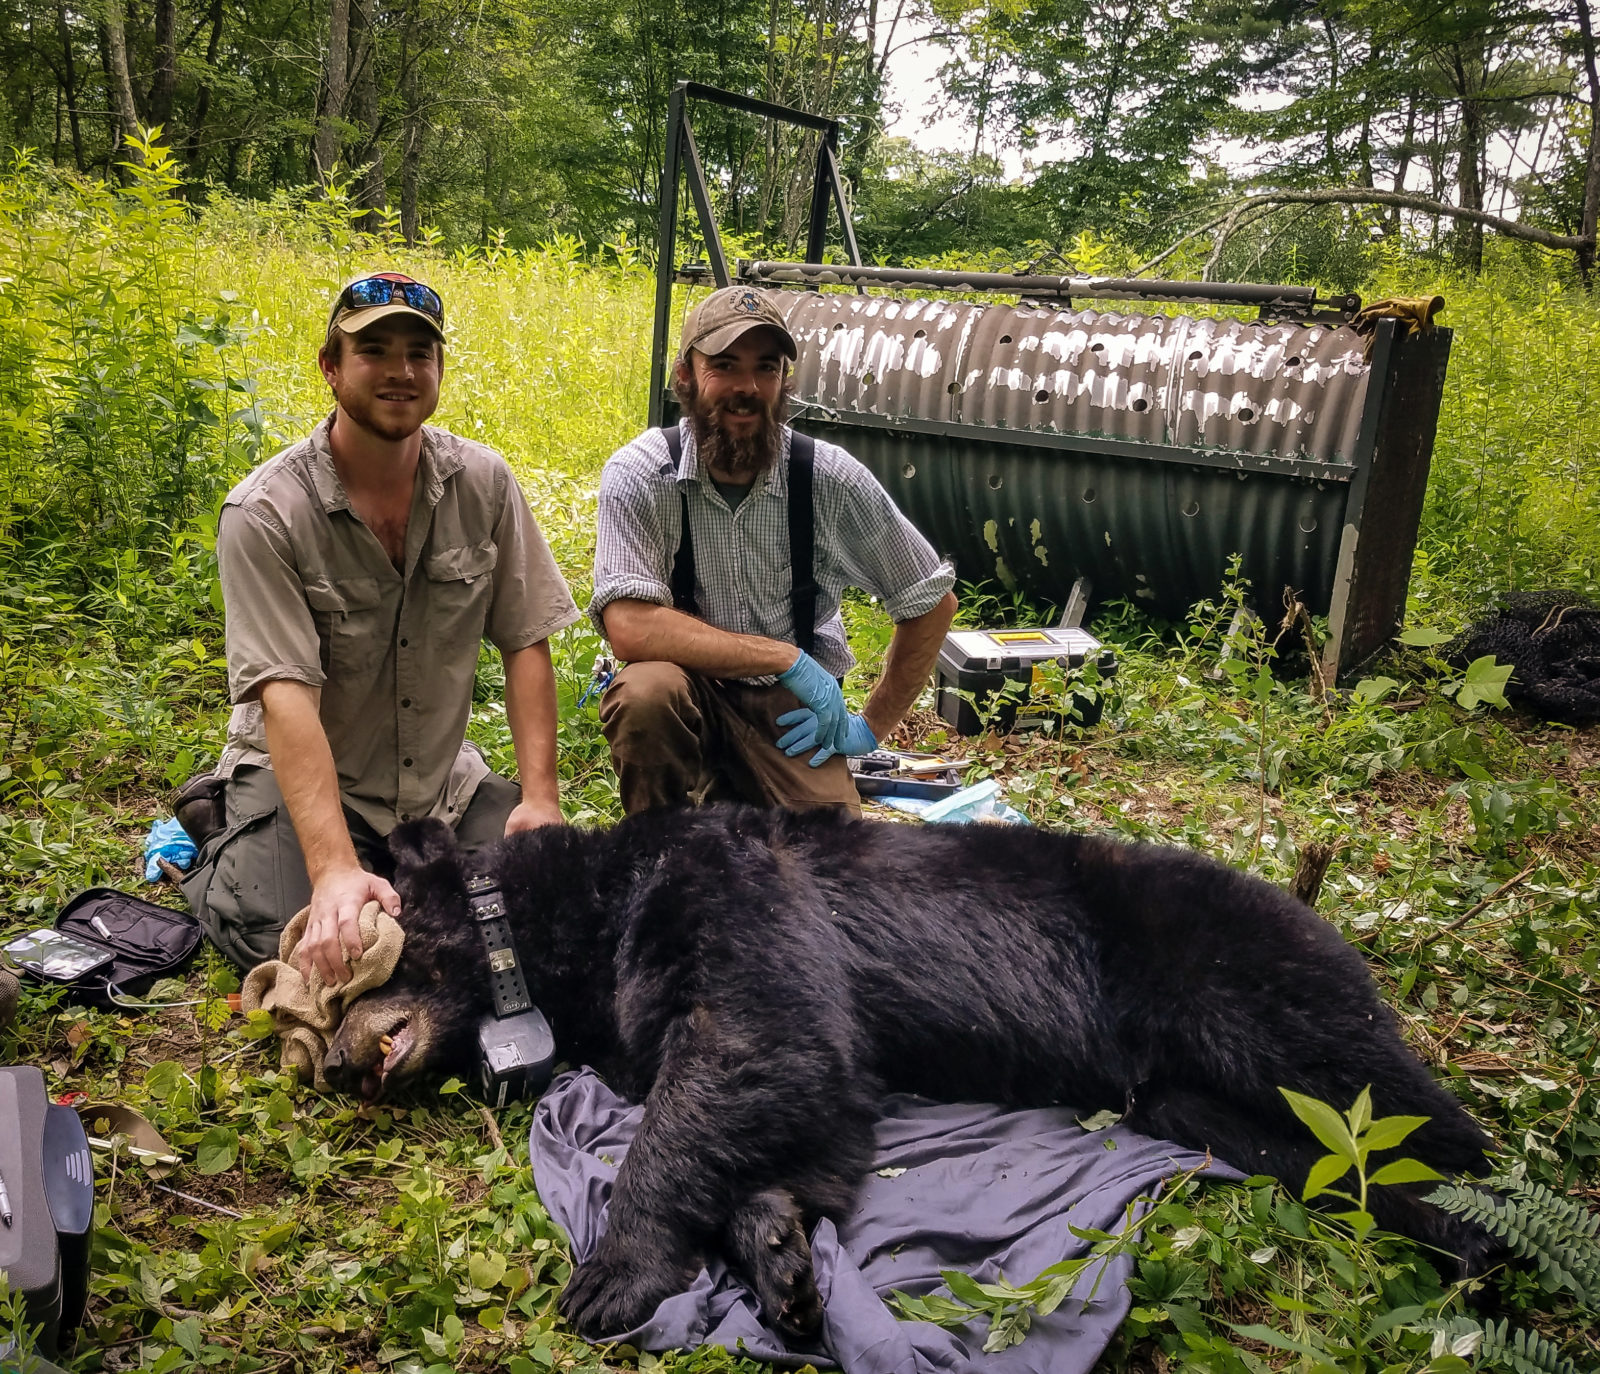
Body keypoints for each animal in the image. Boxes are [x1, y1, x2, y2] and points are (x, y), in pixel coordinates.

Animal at [322, 803, 1495, 1341]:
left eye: (359, 954)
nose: (332, 1062)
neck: (583, 916)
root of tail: (1318, 910)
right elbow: (814, 1106)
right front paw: (780, 1251)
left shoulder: (727, 883)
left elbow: (759, 1038)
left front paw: (613, 1273)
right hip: (1192, 1102)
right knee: (1326, 1153)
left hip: (1237, 978)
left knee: (1388, 1099)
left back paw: (1494, 1236)